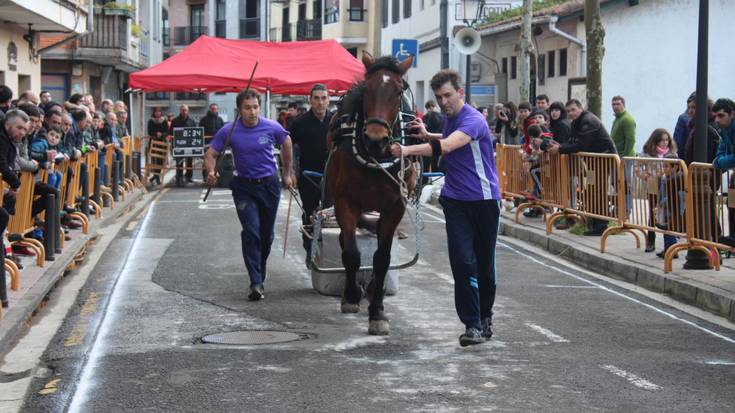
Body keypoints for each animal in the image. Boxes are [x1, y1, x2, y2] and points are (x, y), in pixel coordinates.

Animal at [324, 51, 416, 334]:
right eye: (367, 89)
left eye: (398, 91)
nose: (376, 138)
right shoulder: (345, 202)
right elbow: (352, 254)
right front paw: (352, 295)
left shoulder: (394, 206)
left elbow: (382, 258)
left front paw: (377, 311)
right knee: (345, 241)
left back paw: (376, 287)